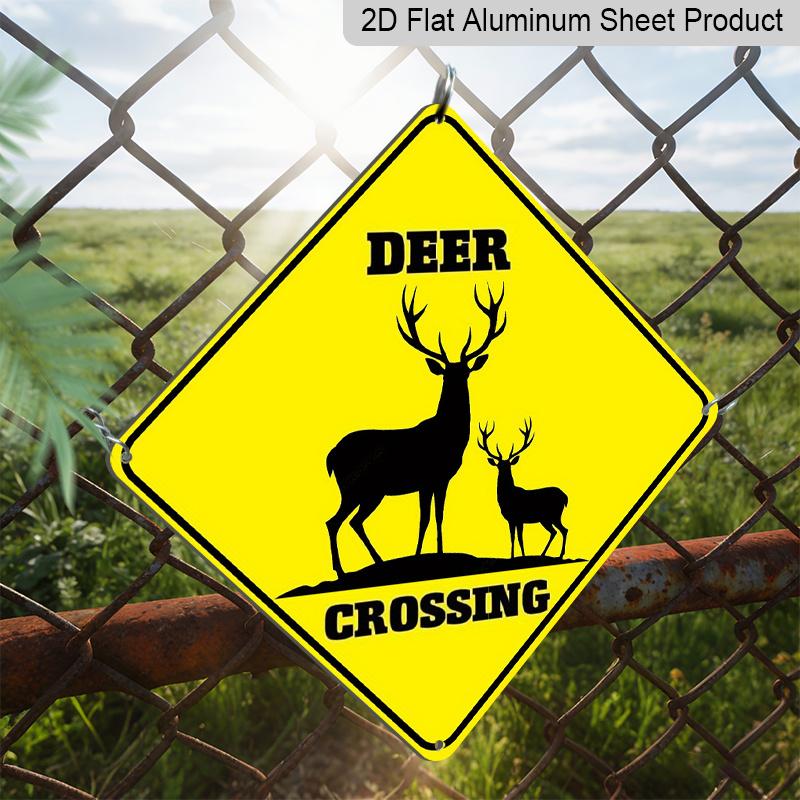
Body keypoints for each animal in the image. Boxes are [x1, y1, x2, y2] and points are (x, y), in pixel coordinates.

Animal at [325, 285, 507, 578]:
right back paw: (343, 571)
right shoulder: (431, 478)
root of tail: (331, 456)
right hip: (356, 487)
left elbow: (434, 517)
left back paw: (379, 562)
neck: (449, 438)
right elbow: (427, 518)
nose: (458, 383)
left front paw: (431, 554)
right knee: (335, 522)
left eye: (466, 371)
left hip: (372, 492)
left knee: (353, 522)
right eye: (446, 373)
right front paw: (426, 556)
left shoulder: (437, 480)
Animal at [477, 419, 569, 560]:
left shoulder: (519, 518)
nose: (503, 472)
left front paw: (523, 556)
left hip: (554, 514)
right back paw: (542, 554)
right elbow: (513, 538)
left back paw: (560, 555)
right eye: (499, 465)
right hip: (545, 519)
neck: (508, 498)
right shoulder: (511, 519)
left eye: (509, 465)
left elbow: (520, 538)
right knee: (554, 532)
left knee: (564, 530)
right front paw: (512, 557)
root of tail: (565, 496)